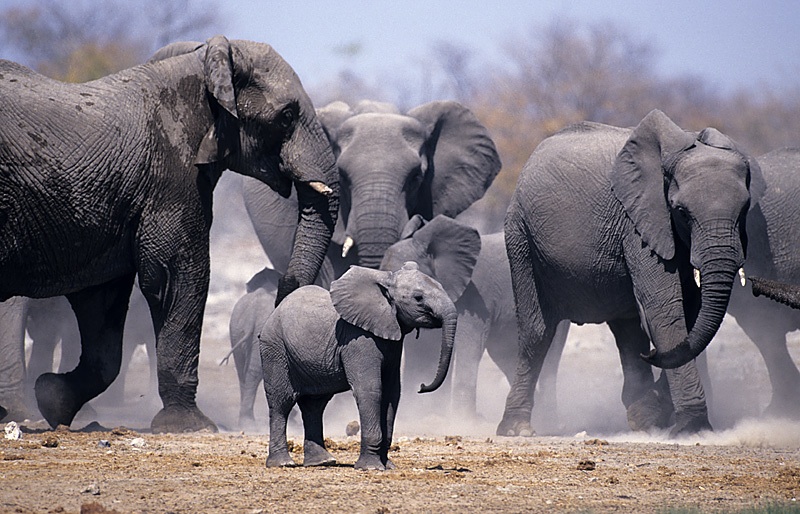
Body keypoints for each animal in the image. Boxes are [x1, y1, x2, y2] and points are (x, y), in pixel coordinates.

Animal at [0, 35, 338, 433]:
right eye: (287, 116)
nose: (279, 293)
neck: (202, 65)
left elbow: (103, 301)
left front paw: (53, 398)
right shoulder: (172, 173)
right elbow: (177, 275)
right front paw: (191, 424)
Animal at [259, 262, 457, 470]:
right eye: (418, 298)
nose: (421, 386)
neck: (386, 281)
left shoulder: (392, 342)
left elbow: (392, 393)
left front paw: (388, 466)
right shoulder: (358, 338)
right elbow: (370, 389)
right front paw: (371, 467)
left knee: (314, 405)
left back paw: (323, 461)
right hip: (274, 348)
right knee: (282, 402)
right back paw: (282, 463)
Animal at [500, 110, 763, 437]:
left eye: (744, 210)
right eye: (682, 212)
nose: (652, 356)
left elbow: (689, 313)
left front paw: (659, 414)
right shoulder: (638, 222)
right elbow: (664, 309)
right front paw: (692, 428)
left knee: (628, 331)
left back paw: (643, 418)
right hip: (520, 233)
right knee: (538, 331)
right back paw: (516, 428)